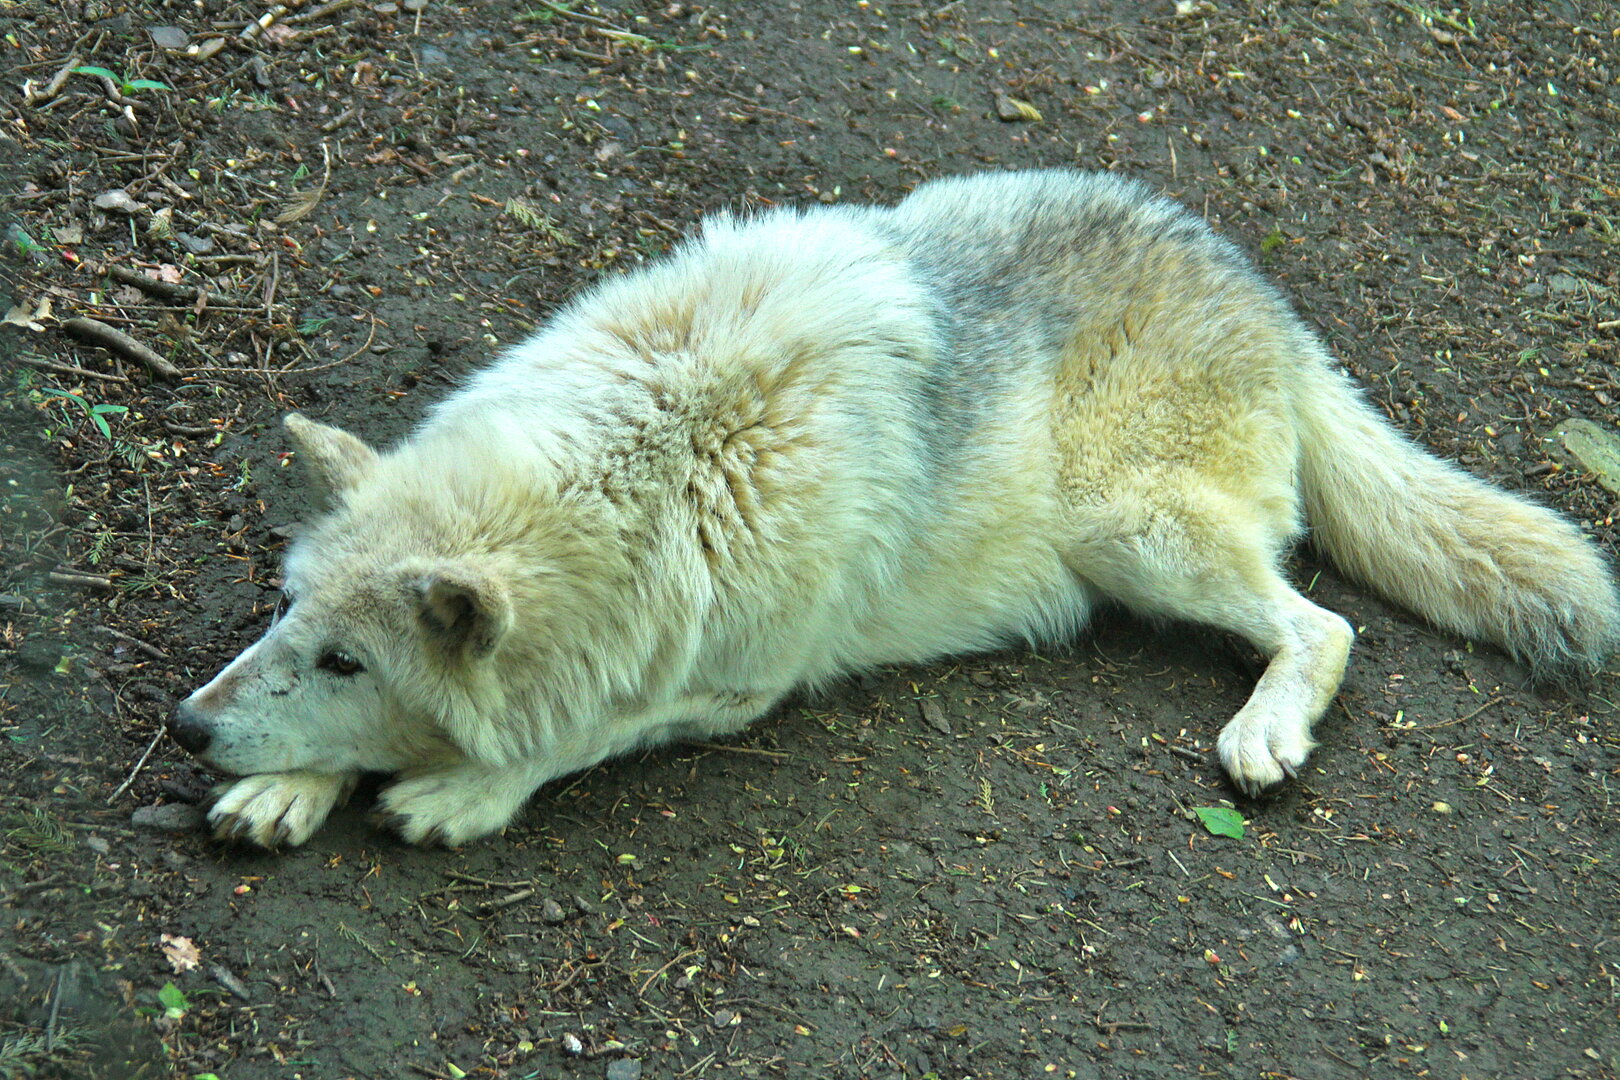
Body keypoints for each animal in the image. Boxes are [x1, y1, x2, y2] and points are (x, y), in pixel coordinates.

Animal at [170, 169, 1620, 848]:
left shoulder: (736, 687)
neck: (664, 458)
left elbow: (581, 730)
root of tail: (1274, 302)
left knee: (1326, 629)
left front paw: (464, 789)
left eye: (351, 660)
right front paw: (290, 781)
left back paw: (1266, 732)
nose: (186, 730)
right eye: (291, 619)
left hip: (1127, 532)